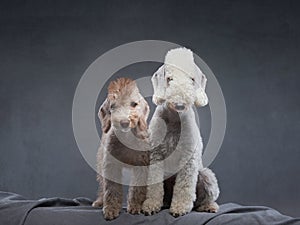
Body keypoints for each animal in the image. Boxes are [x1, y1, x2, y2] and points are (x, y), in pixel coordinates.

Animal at [142, 47, 219, 216]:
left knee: (203, 198)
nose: (180, 104)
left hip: (206, 175)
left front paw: (180, 208)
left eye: (192, 79)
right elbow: (154, 185)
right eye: (169, 78)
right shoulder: (156, 156)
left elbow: (184, 185)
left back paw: (208, 206)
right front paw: (151, 205)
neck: (174, 119)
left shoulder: (188, 157)